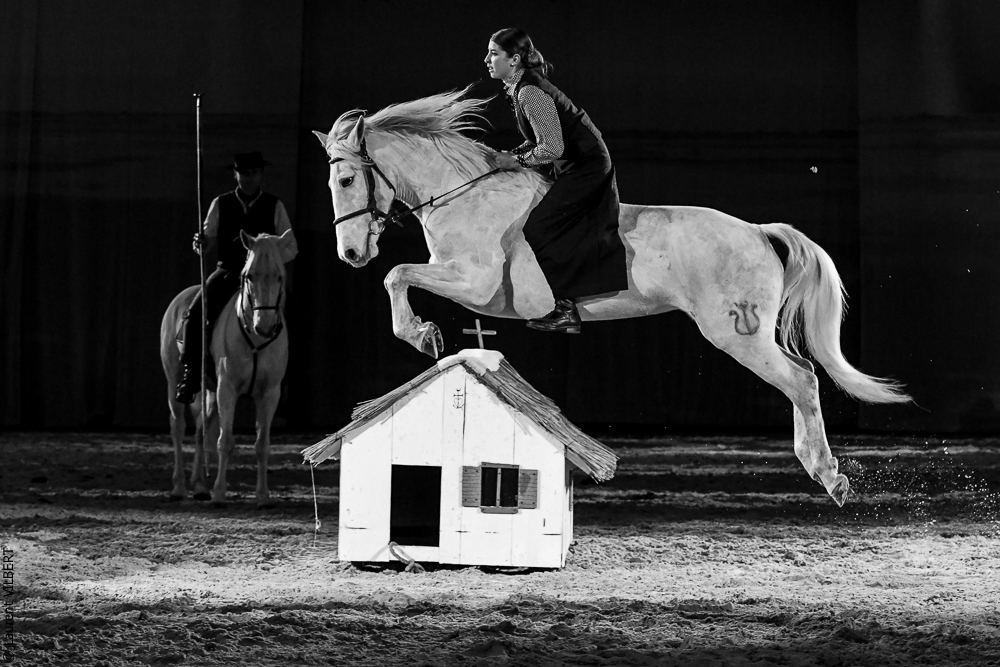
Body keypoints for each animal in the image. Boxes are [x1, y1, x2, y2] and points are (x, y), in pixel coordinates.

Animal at [159, 230, 294, 507]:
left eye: (279, 276)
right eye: (249, 275)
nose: (264, 326)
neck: (255, 340)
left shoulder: (269, 394)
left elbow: (261, 444)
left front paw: (263, 496)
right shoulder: (227, 389)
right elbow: (225, 441)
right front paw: (220, 493)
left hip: (208, 389)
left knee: (201, 429)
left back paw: (200, 486)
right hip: (174, 379)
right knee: (178, 426)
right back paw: (179, 487)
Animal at [312, 87, 910, 507]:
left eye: (346, 181)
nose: (350, 254)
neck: (463, 196)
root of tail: (759, 232)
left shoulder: (475, 284)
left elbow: (396, 274)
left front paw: (421, 334)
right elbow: (398, 275)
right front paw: (424, 333)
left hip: (736, 333)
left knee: (802, 380)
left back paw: (828, 476)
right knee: (802, 379)